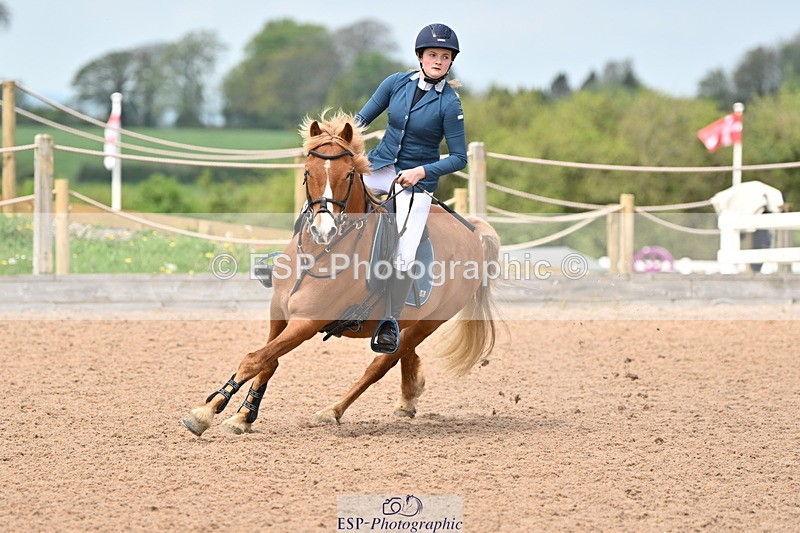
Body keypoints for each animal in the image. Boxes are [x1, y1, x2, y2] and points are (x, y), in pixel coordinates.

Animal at [180, 110, 501, 436]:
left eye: (348, 174)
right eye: (307, 172)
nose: (324, 230)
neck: (316, 255)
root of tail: (474, 230)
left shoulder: (307, 322)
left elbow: (254, 359)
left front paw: (205, 413)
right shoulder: (278, 313)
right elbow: (268, 360)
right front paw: (243, 416)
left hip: (430, 322)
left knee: (380, 365)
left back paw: (331, 411)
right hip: (412, 322)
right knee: (403, 353)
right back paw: (407, 398)